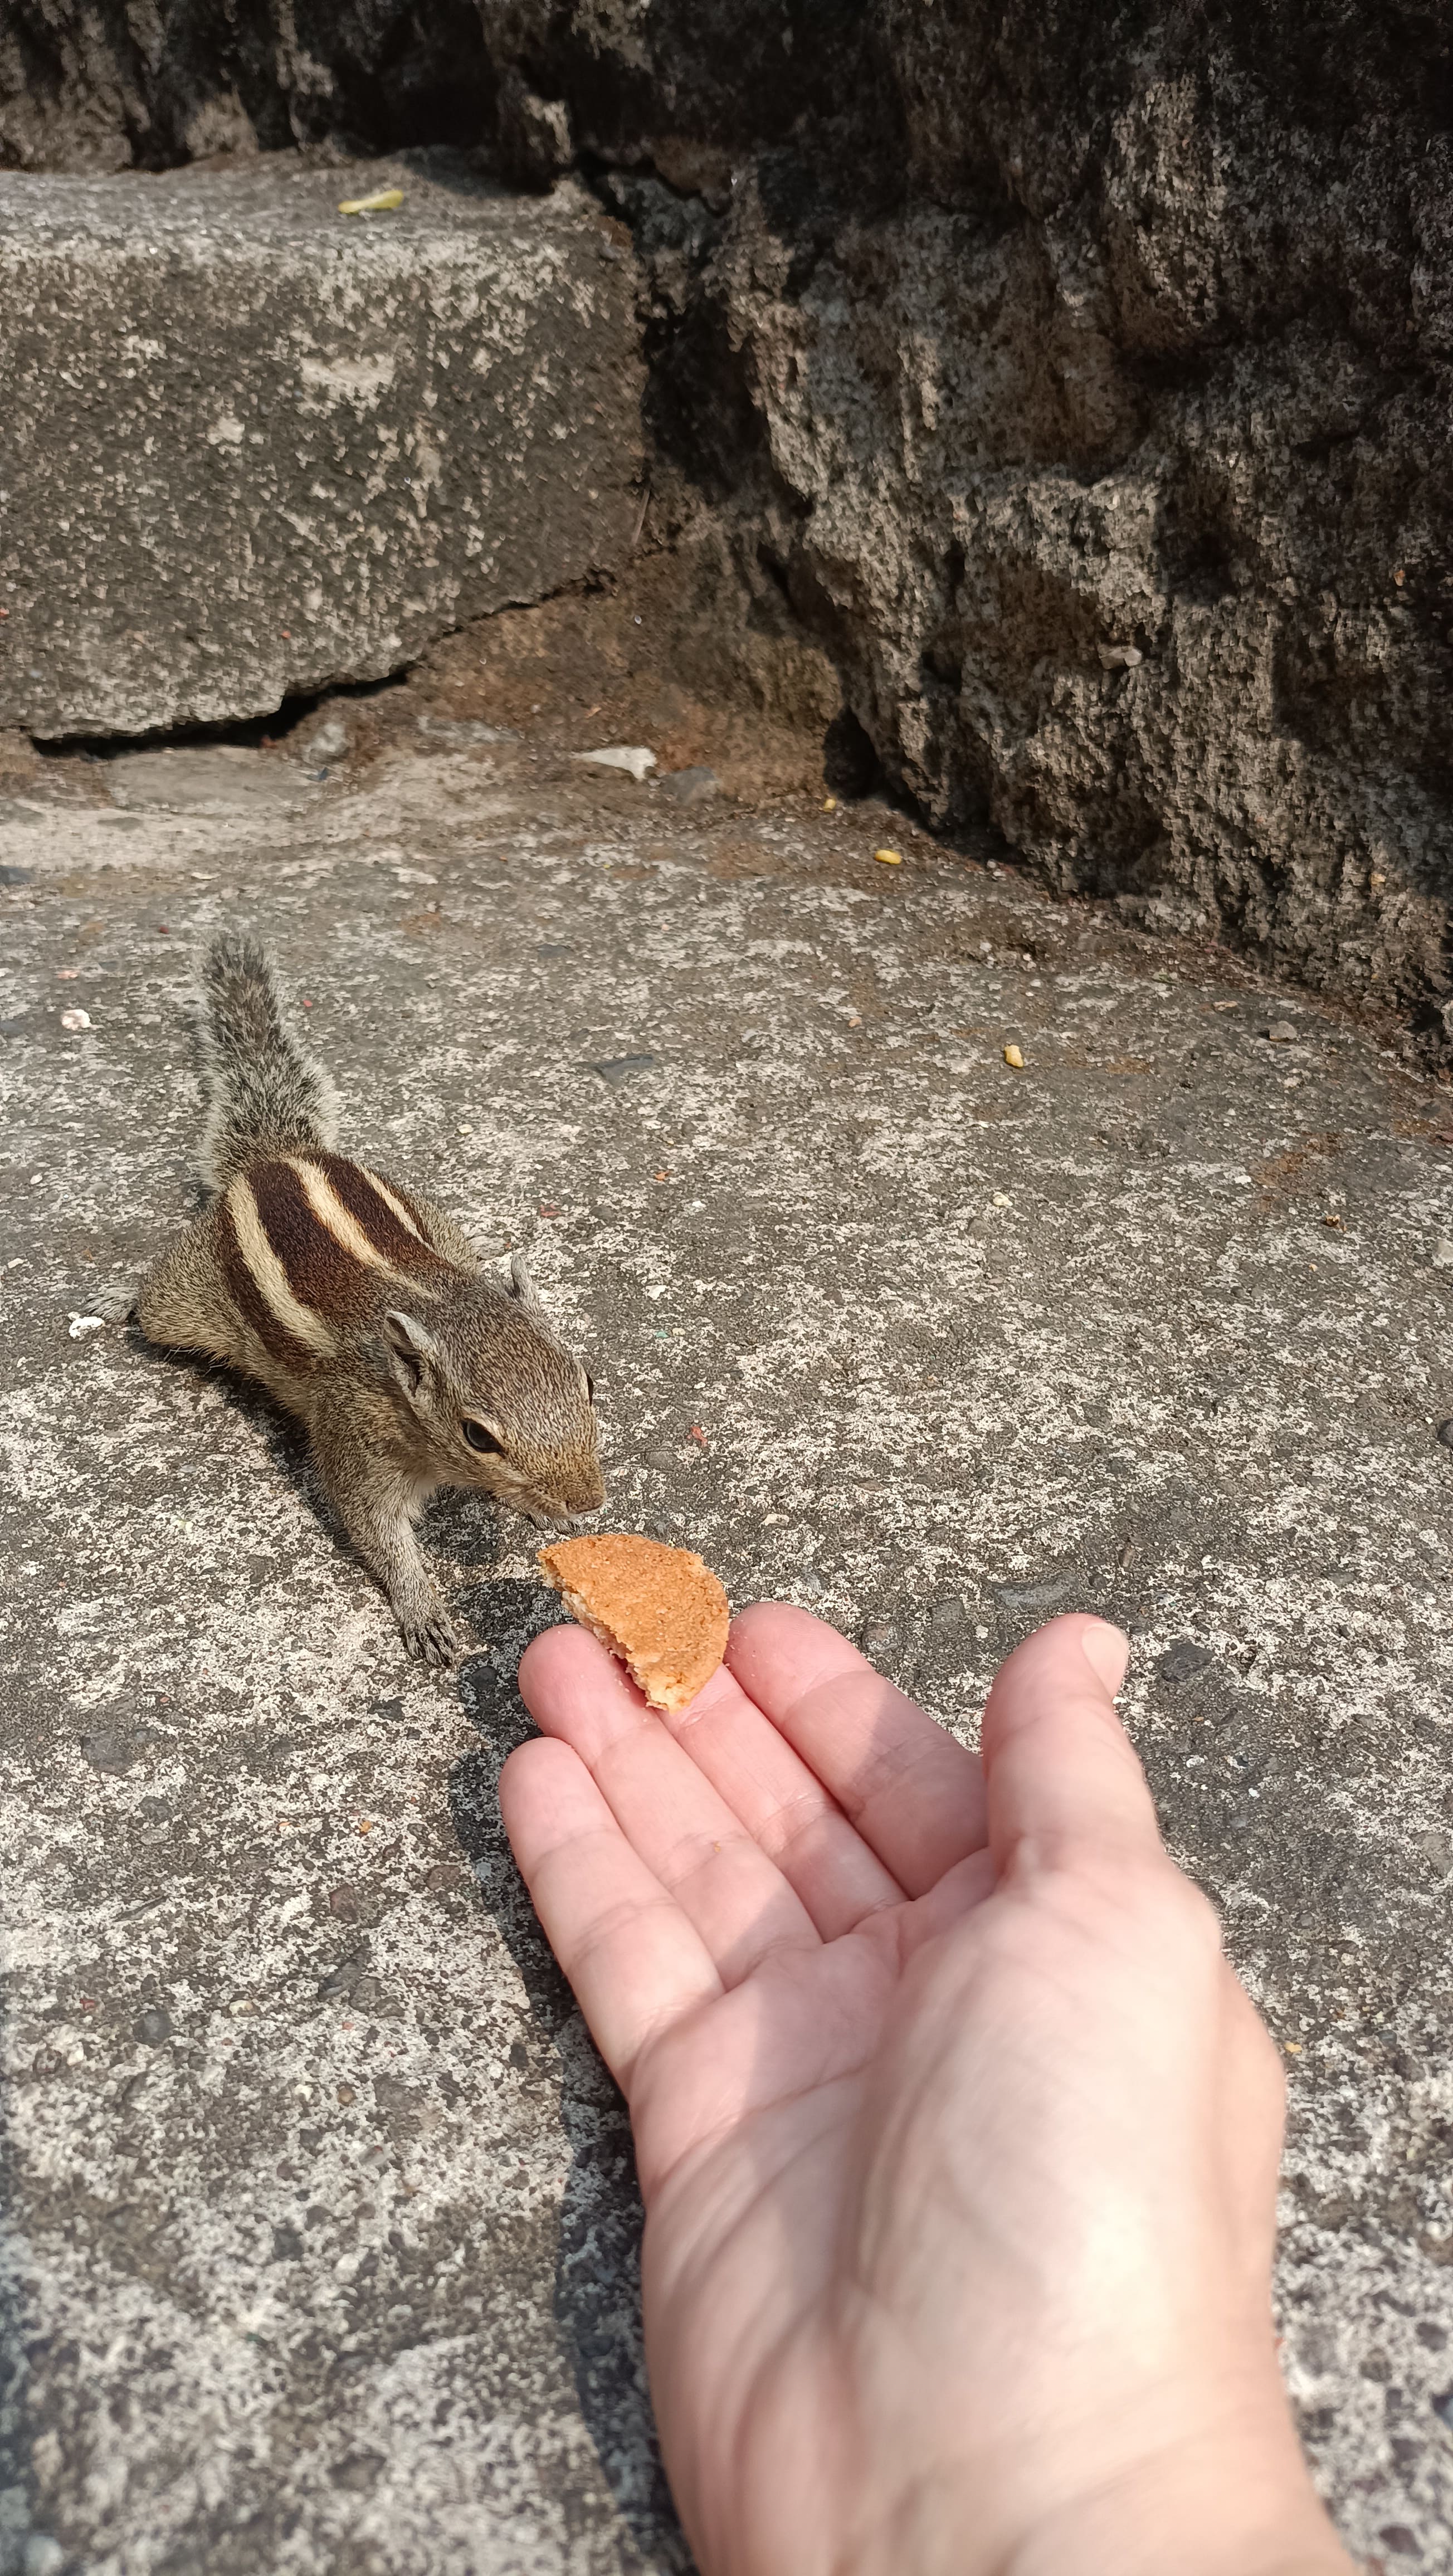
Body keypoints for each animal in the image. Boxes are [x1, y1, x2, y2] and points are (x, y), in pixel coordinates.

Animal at [139, 938, 605, 1658]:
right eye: (477, 1435)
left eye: (587, 1382)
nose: (587, 1502)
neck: (438, 1302)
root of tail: (276, 1155)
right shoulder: (355, 1434)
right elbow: (375, 1528)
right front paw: (422, 1608)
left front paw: (537, 1509)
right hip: (188, 1294)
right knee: (154, 1294)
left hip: (440, 1221)